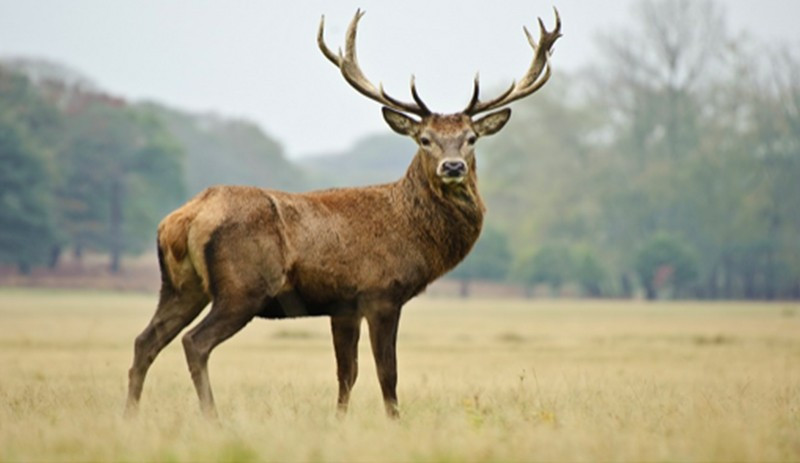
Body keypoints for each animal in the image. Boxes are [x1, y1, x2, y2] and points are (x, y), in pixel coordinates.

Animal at [125, 7, 564, 420]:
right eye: (425, 139)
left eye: (471, 138)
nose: (452, 167)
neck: (412, 232)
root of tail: (183, 219)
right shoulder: (381, 292)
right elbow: (387, 372)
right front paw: (394, 422)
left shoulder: (343, 305)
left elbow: (346, 373)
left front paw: (339, 421)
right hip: (242, 287)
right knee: (194, 342)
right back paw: (212, 418)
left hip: (181, 286)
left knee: (145, 340)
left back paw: (131, 415)